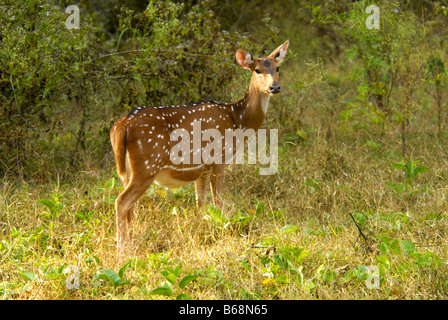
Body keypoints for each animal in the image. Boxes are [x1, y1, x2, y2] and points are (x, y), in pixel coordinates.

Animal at [110, 40, 288, 245]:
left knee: (129, 204)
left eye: (277, 67)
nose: (275, 87)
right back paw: (122, 247)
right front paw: (223, 226)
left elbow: (201, 202)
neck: (237, 119)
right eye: (257, 70)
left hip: (127, 171)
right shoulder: (220, 158)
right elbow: (218, 200)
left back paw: (131, 240)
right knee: (122, 201)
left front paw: (203, 227)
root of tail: (121, 126)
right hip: (147, 165)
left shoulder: (202, 167)